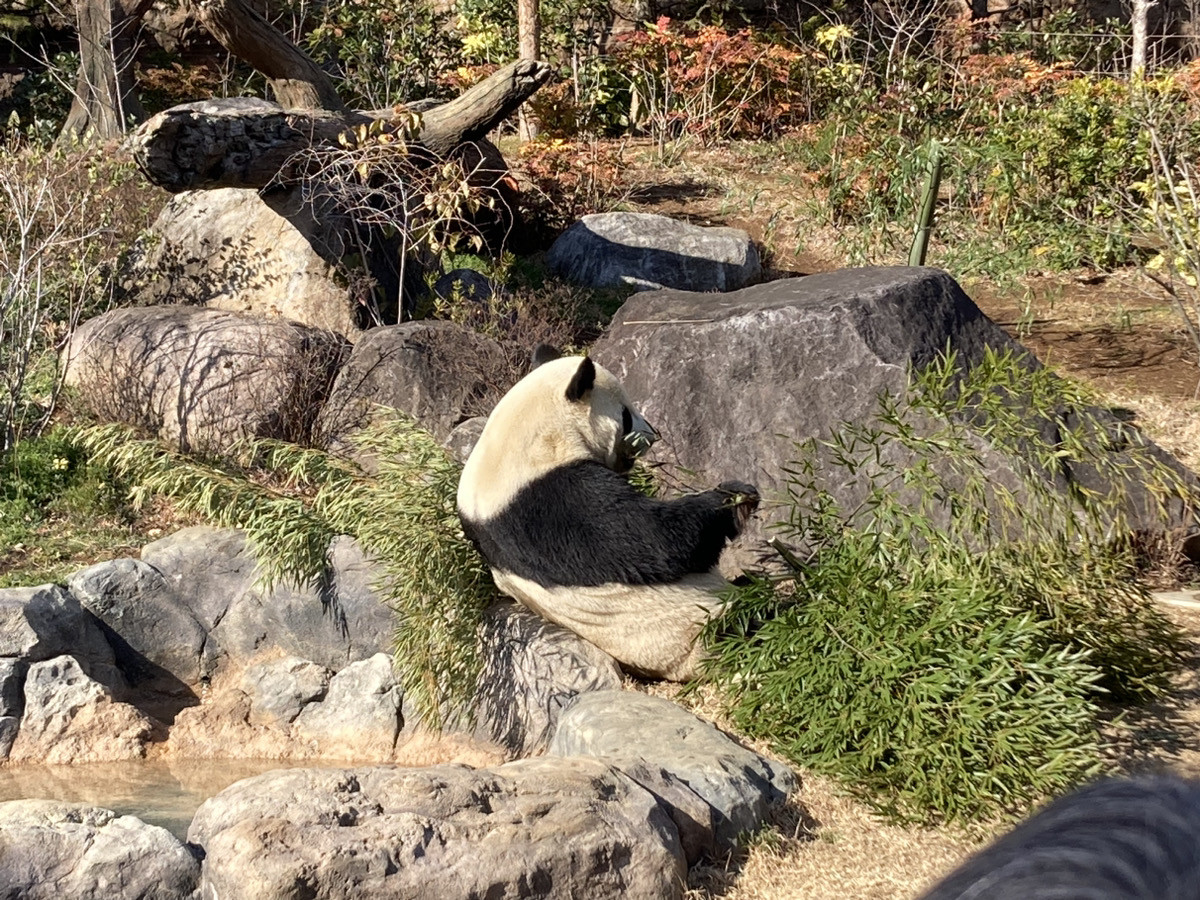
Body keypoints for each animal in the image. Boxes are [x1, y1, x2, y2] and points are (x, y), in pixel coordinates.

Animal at [453, 348, 753, 681]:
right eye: (626, 414)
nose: (652, 433)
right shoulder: (550, 500)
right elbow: (654, 542)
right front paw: (731, 499)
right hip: (697, 629)